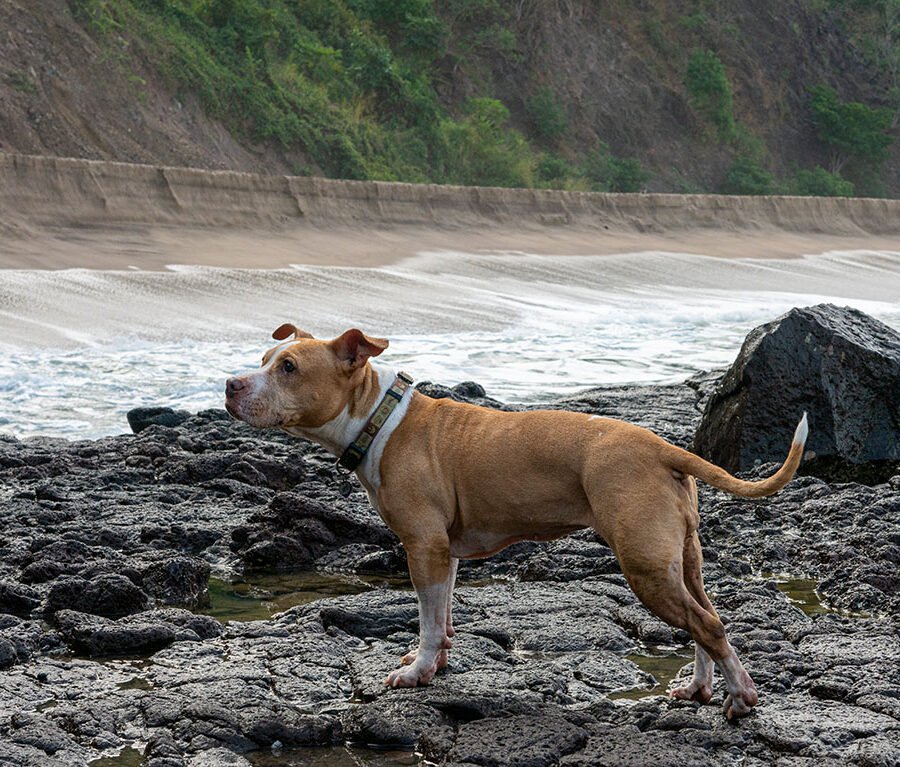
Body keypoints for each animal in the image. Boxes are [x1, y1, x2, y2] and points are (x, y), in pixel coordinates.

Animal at [225, 326, 808, 720]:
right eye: (264, 359)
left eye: (289, 368)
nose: (230, 384)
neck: (379, 418)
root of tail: (663, 447)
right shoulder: (444, 554)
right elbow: (442, 618)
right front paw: (434, 665)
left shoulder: (423, 547)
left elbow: (428, 621)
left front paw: (416, 673)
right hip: (679, 561)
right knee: (705, 618)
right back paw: (699, 689)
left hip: (644, 565)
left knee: (707, 625)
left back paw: (741, 697)